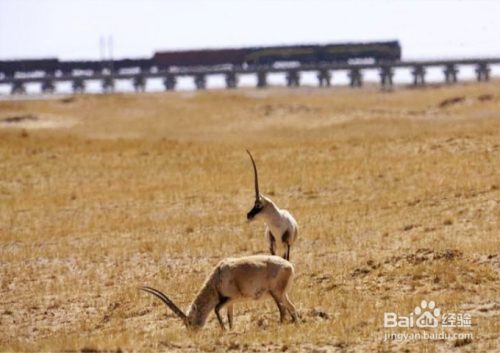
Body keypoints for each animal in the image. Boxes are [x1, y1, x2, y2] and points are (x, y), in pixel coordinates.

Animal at [139, 254, 296, 328]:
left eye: (189, 321)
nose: (191, 335)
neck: (218, 275)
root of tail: (289, 266)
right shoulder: (231, 303)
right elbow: (230, 317)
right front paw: (230, 330)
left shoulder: (231, 298)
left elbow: (215, 309)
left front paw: (223, 329)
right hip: (283, 294)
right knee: (291, 308)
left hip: (276, 294)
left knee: (282, 310)